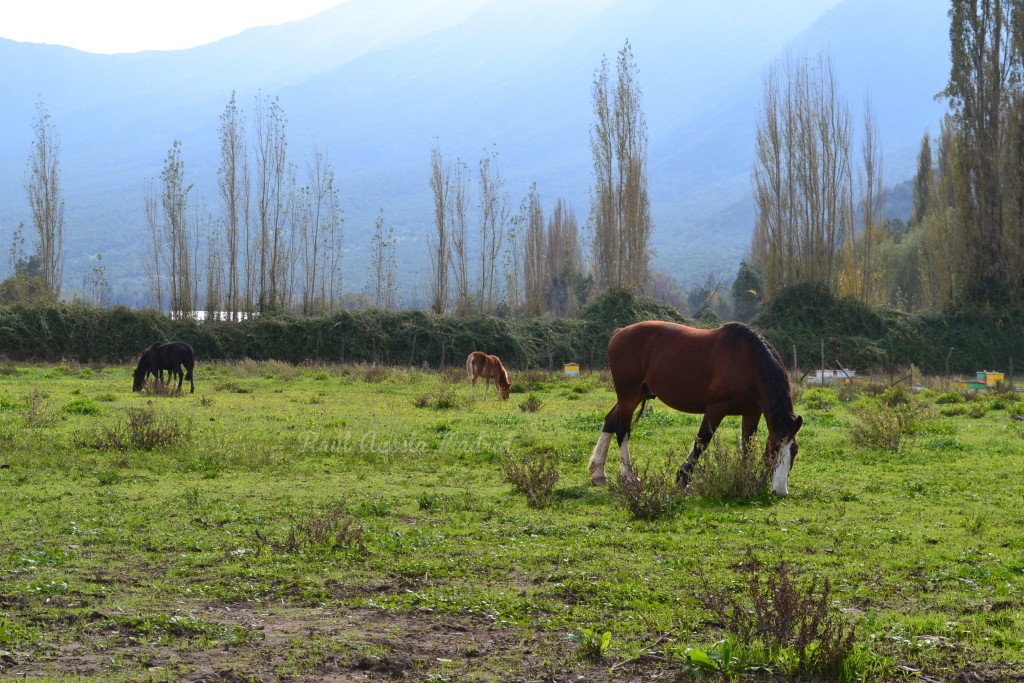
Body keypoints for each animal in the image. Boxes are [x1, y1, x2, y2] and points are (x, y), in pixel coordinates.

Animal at [589, 321, 802, 497]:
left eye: (794, 451)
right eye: (774, 450)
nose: (780, 491)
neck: (748, 363)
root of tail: (619, 332)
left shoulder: (751, 413)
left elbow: (748, 446)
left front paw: (745, 477)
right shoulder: (716, 409)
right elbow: (702, 441)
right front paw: (682, 479)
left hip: (638, 394)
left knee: (610, 420)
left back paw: (598, 473)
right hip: (629, 394)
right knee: (622, 429)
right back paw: (629, 477)